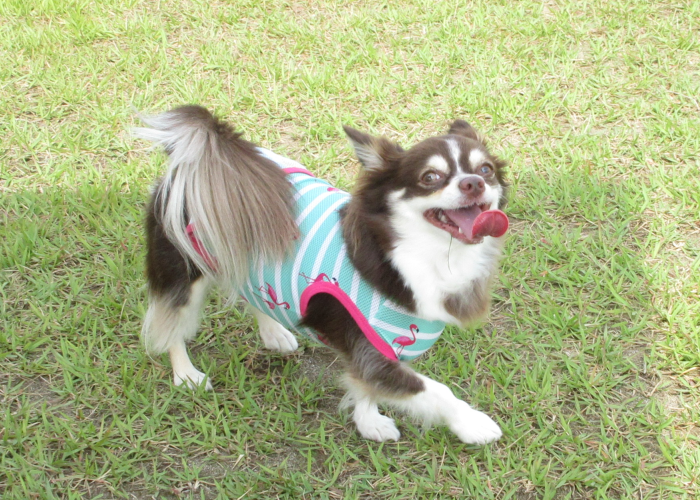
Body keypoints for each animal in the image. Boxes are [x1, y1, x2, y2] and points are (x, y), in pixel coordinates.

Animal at [135, 105, 509, 444]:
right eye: (430, 177)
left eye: (486, 170)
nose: (474, 182)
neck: (418, 255)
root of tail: (194, 161)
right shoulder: (369, 342)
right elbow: (434, 391)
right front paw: (472, 424)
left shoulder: (373, 351)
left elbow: (365, 384)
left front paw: (367, 421)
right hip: (183, 274)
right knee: (173, 323)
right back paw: (186, 373)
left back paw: (273, 331)